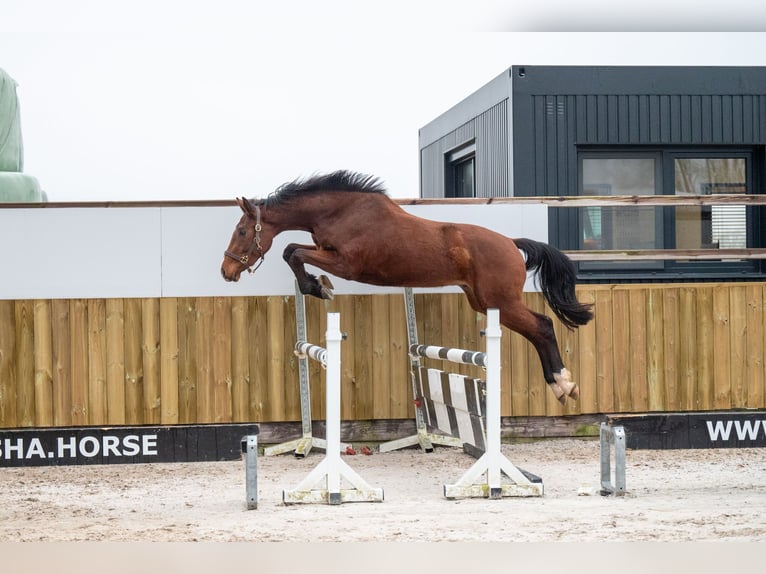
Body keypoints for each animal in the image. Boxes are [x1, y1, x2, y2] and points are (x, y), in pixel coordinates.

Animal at [222, 171, 592, 404]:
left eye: (242, 231)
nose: (226, 271)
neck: (342, 211)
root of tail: (511, 244)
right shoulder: (326, 251)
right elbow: (292, 250)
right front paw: (316, 284)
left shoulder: (346, 264)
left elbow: (293, 252)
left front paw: (319, 286)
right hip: (485, 302)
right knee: (537, 330)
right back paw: (562, 386)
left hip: (501, 301)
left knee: (543, 326)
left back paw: (564, 385)